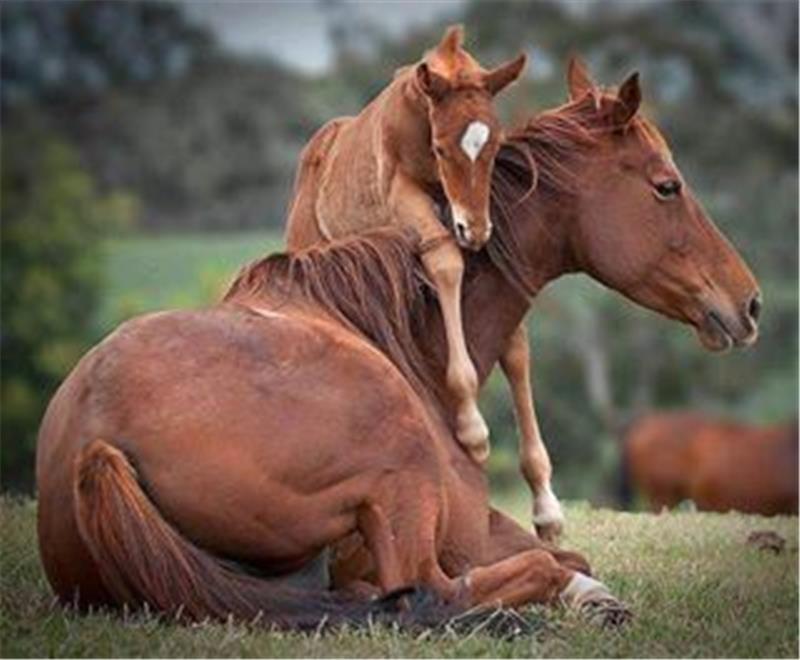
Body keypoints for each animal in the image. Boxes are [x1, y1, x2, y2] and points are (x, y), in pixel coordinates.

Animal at [284, 21, 528, 464]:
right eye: (440, 148)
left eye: (495, 145)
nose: (475, 229)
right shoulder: (402, 194)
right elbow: (446, 259)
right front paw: (473, 429)